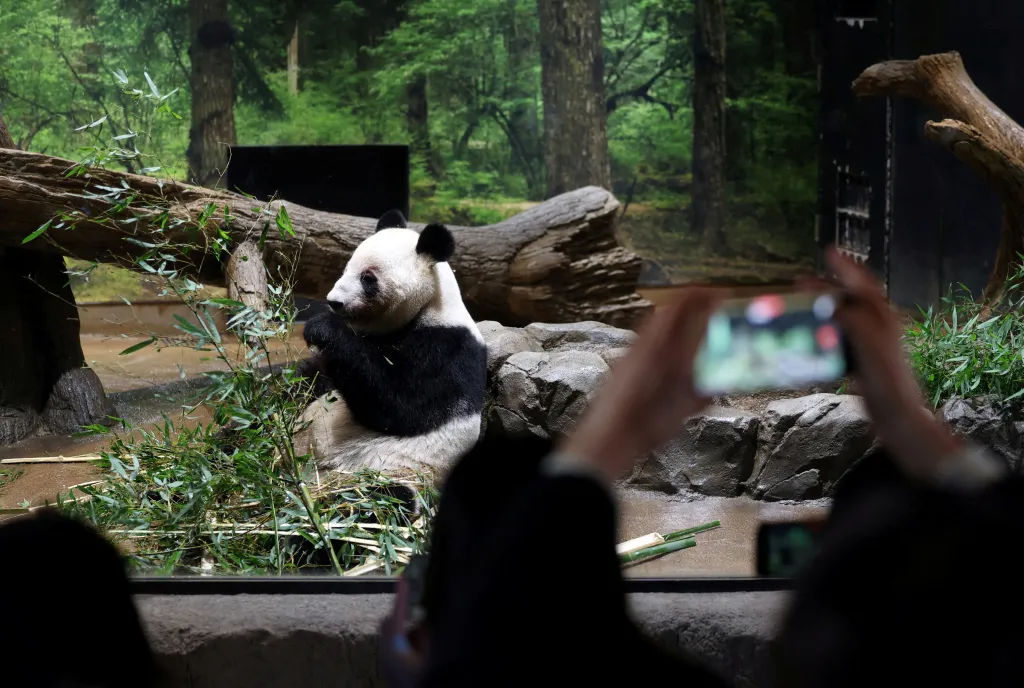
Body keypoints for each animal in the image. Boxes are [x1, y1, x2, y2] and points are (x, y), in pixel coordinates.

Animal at [294, 209, 488, 473]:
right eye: (346, 268)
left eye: (367, 278)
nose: (334, 302)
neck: (429, 305)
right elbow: (313, 375)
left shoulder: (447, 348)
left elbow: (402, 405)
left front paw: (322, 327)